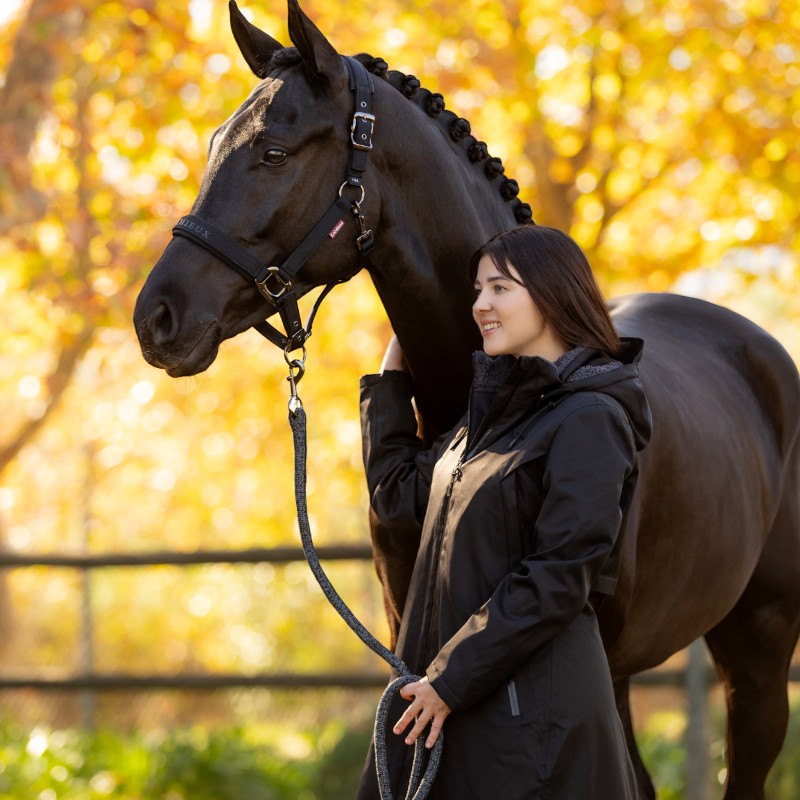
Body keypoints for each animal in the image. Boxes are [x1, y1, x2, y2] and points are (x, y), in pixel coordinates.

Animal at [132, 2, 800, 797]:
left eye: (273, 152)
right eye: (214, 145)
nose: (156, 317)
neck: (483, 396)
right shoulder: (405, 640)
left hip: (755, 658)